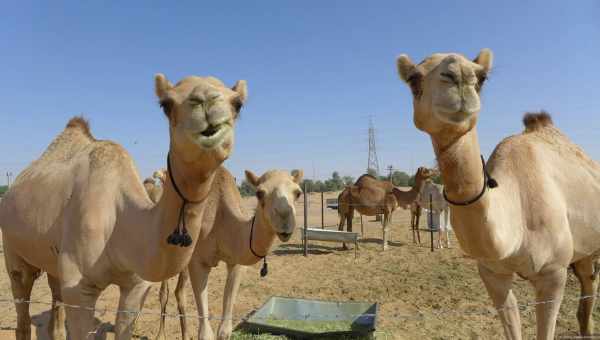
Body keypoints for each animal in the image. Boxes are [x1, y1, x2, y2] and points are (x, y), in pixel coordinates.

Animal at [0, 74, 248, 340]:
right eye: (166, 104)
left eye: (238, 104)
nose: (207, 104)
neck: (121, 220)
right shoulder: (79, 288)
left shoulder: (136, 285)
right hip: (13, 251)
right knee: (22, 303)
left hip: (52, 260)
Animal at [150, 168, 302, 340]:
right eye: (259, 193)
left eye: (298, 193)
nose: (285, 219)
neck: (220, 216)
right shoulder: (198, 261)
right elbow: (205, 333)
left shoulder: (236, 263)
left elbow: (224, 330)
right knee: (164, 291)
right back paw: (160, 335)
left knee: (178, 292)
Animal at [396, 48, 600, 340]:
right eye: (414, 79)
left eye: (481, 77)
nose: (458, 75)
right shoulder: (492, 274)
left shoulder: (553, 273)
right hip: (584, 249)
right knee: (587, 287)